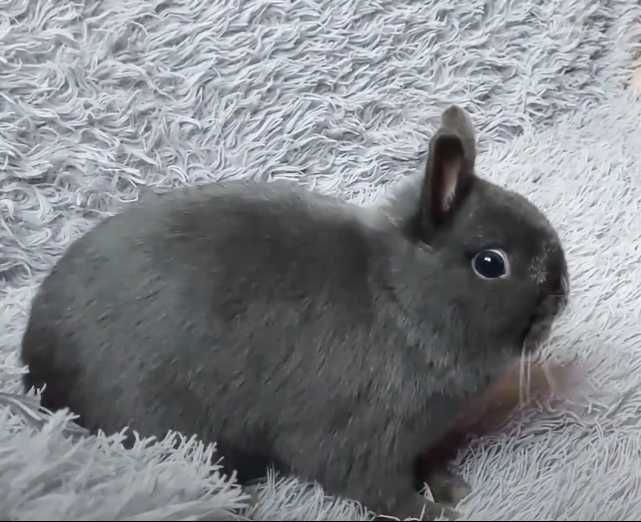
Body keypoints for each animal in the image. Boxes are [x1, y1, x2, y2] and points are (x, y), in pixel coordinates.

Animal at [21, 105, 569, 520]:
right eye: (491, 263)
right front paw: (438, 513)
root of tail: (33, 363)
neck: (400, 300)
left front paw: (453, 487)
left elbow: (428, 463)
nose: (562, 294)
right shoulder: (359, 439)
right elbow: (381, 492)